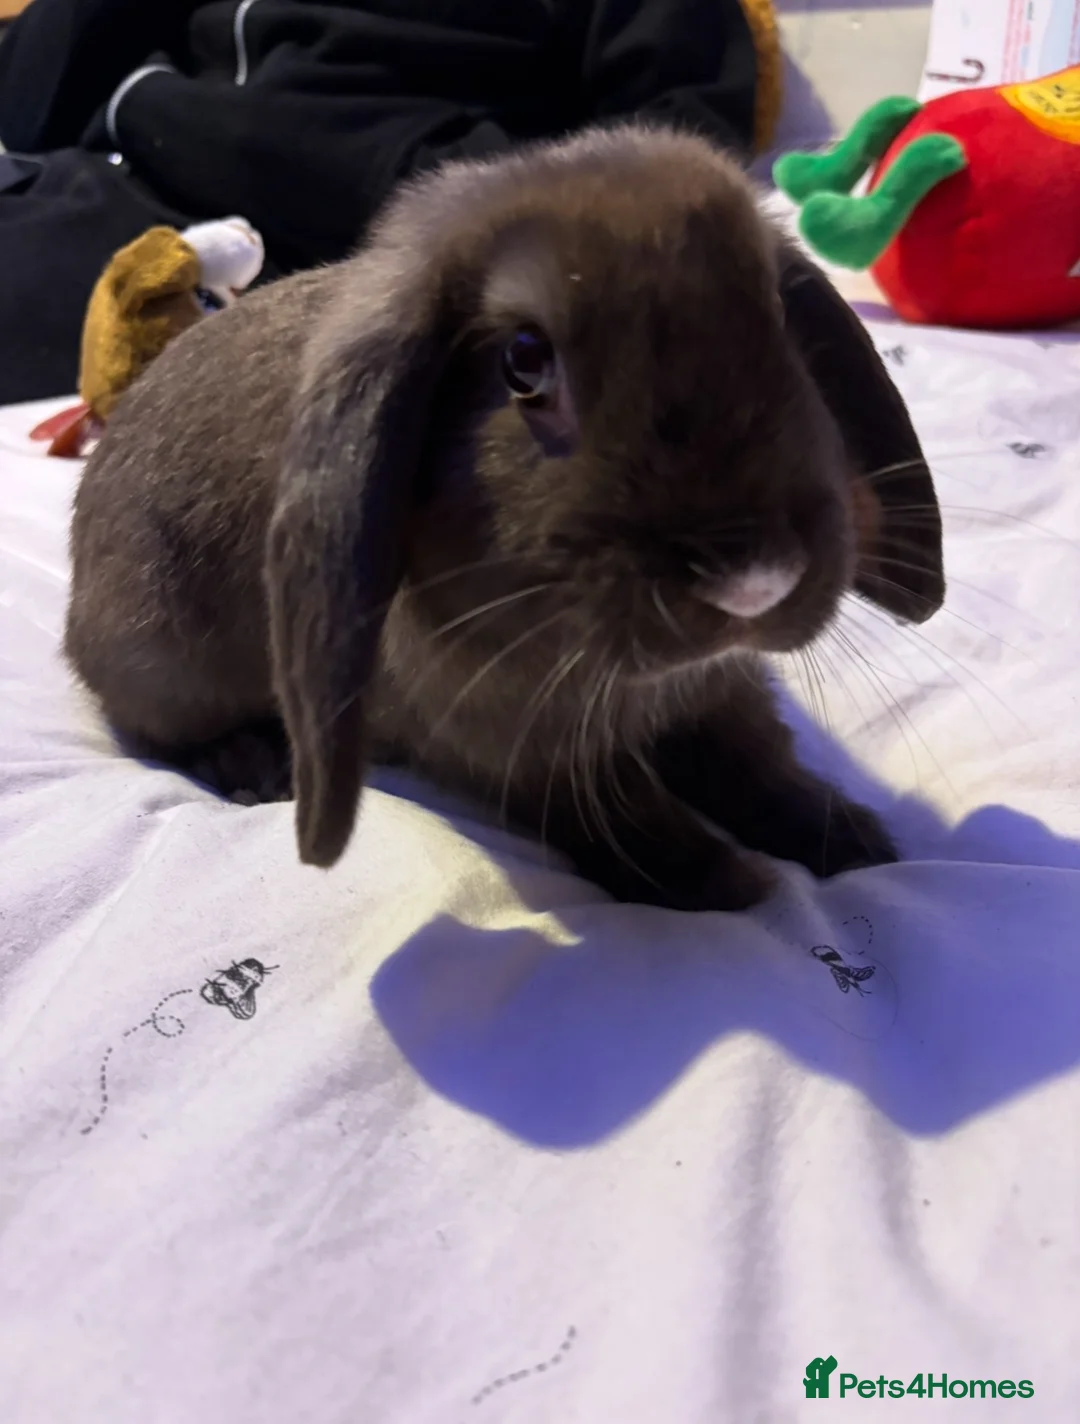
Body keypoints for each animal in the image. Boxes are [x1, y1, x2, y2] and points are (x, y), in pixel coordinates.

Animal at [64, 123, 944, 913]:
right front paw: (724, 885)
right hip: (158, 659)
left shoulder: (719, 692)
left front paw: (854, 840)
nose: (755, 579)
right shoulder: (512, 745)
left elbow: (758, 765)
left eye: (779, 316)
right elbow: (625, 812)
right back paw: (252, 765)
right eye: (523, 361)